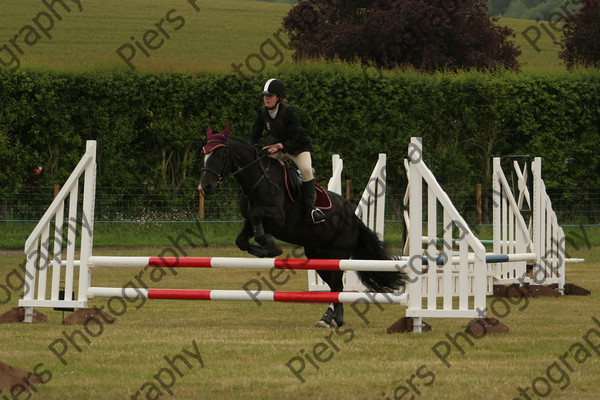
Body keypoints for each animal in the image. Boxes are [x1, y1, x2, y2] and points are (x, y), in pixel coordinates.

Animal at [199, 126, 406, 328]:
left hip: (337, 253)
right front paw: (262, 251)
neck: (259, 180)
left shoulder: (277, 219)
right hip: (317, 255)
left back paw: (329, 319)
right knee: (334, 286)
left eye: (219, 155)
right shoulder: (250, 222)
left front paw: (271, 248)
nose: (205, 187)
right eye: (204, 155)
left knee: (338, 286)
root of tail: (352, 215)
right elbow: (241, 240)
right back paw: (332, 319)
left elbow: (258, 217)